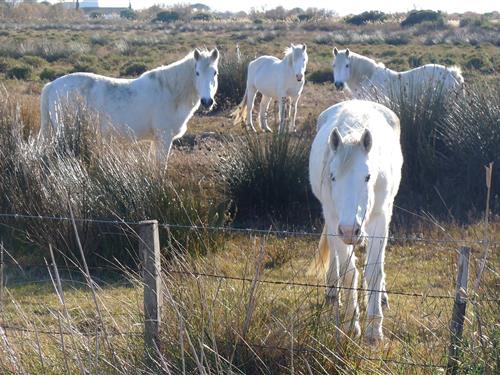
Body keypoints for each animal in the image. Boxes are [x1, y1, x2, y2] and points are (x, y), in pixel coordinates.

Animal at [39, 48, 219, 167]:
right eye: (197, 72)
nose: (207, 101)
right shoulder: (164, 137)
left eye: (215, 73)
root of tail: (52, 85)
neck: (170, 91)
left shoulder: (156, 139)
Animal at [308, 99, 402, 344]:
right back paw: (333, 291)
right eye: (332, 177)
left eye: (367, 176)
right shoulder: (335, 222)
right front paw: (352, 325)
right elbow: (349, 271)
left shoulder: (379, 221)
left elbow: (374, 271)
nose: (351, 230)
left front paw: (374, 329)